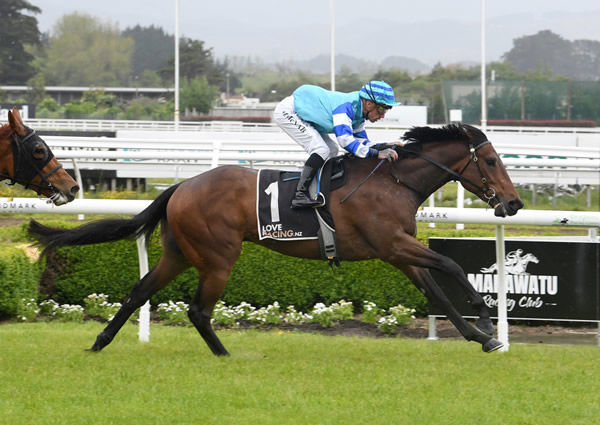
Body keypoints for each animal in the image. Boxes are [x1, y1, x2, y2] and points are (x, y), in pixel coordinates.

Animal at [29, 123, 524, 354]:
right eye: (492, 162)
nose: (514, 203)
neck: (393, 182)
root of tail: (180, 186)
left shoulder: (399, 252)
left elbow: (435, 290)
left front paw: (482, 337)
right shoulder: (391, 245)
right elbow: (452, 265)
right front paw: (485, 316)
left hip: (180, 253)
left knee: (138, 292)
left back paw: (100, 342)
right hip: (218, 256)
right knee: (198, 310)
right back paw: (225, 356)